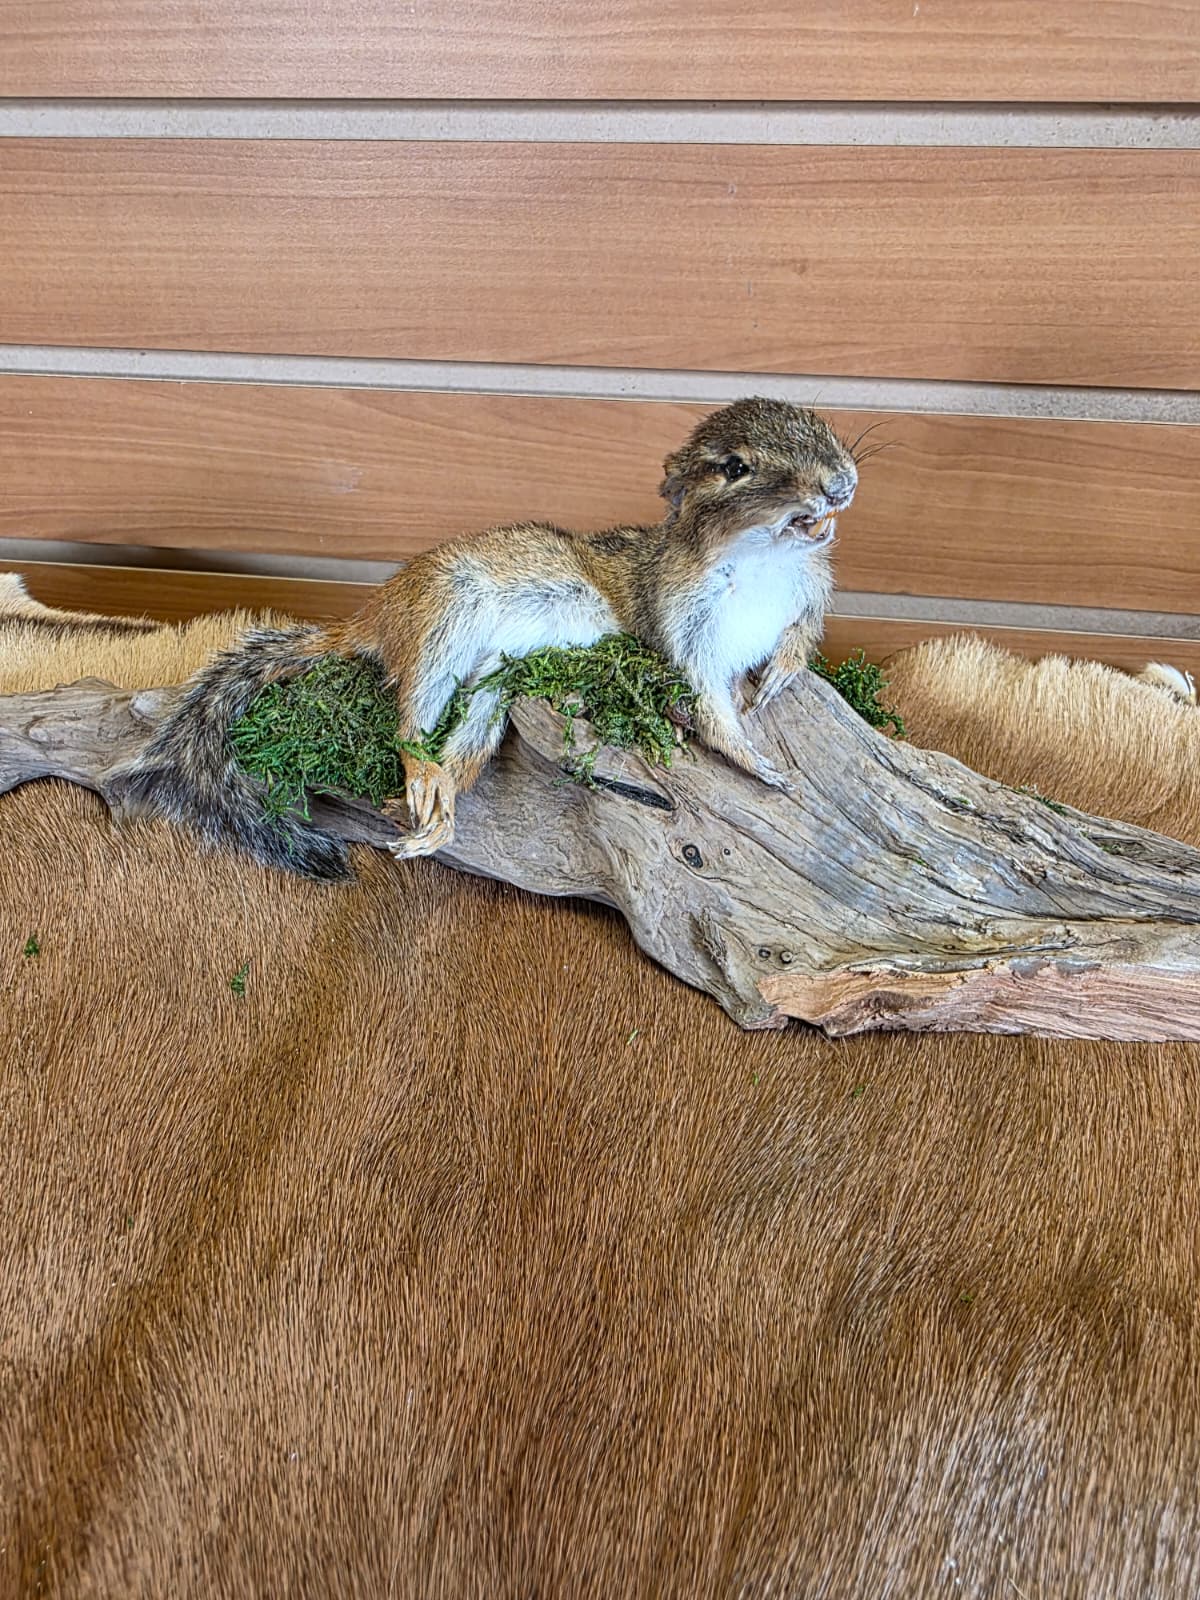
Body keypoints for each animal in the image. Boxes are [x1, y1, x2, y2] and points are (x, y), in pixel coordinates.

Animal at [118, 397, 860, 881]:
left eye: (823, 425)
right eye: (734, 467)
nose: (841, 484)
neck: (764, 561)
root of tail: (373, 614)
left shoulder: (809, 593)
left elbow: (800, 637)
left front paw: (783, 672)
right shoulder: (683, 632)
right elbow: (709, 709)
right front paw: (760, 763)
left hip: (496, 681)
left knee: (464, 740)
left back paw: (444, 795)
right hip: (443, 622)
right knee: (409, 717)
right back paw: (422, 776)